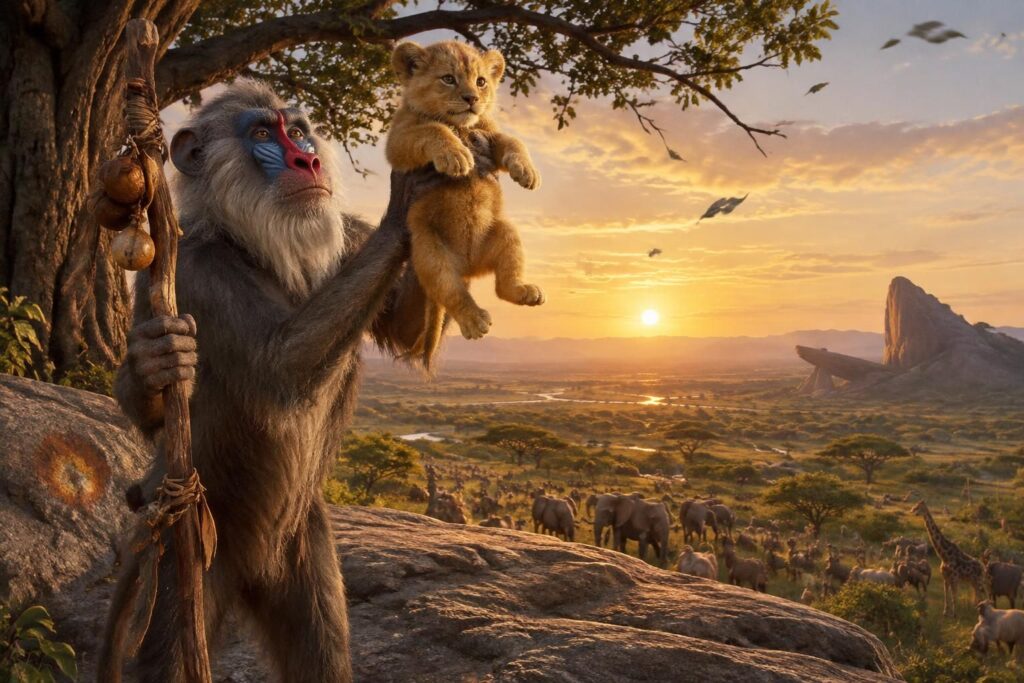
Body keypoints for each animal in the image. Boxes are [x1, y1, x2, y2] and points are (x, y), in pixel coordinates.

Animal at [386, 40, 544, 369]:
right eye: (448, 79)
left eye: (481, 82)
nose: (472, 98)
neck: (462, 126)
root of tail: (469, 267)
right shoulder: (398, 141)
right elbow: (432, 129)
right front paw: (456, 156)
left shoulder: (489, 135)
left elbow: (513, 141)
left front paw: (528, 172)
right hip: (429, 252)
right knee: (451, 291)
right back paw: (474, 320)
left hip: (505, 233)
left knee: (502, 286)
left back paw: (525, 291)